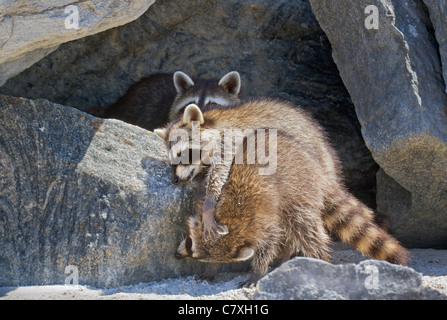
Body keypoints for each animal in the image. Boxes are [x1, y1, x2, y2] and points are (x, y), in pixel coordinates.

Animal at [175, 130, 410, 288]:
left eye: (190, 244)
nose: (176, 256)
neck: (234, 219)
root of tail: (320, 171)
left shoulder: (263, 216)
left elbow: (268, 243)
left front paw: (257, 271)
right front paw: (211, 269)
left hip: (300, 192)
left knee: (304, 228)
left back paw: (318, 259)